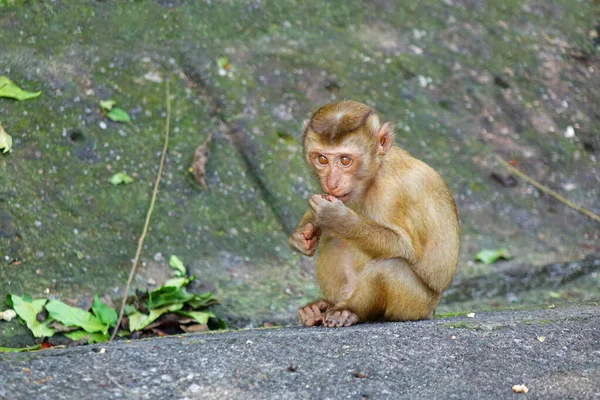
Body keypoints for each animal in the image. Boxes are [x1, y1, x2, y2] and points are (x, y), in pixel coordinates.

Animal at [290, 100, 460, 328]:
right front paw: (303, 234)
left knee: (389, 267)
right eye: (322, 159)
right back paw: (320, 308)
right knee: (335, 242)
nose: (332, 183)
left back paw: (348, 311)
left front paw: (337, 218)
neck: (374, 173)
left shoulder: (392, 192)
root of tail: (432, 310)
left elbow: (405, 246)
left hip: (416, 305)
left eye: (345, 160)